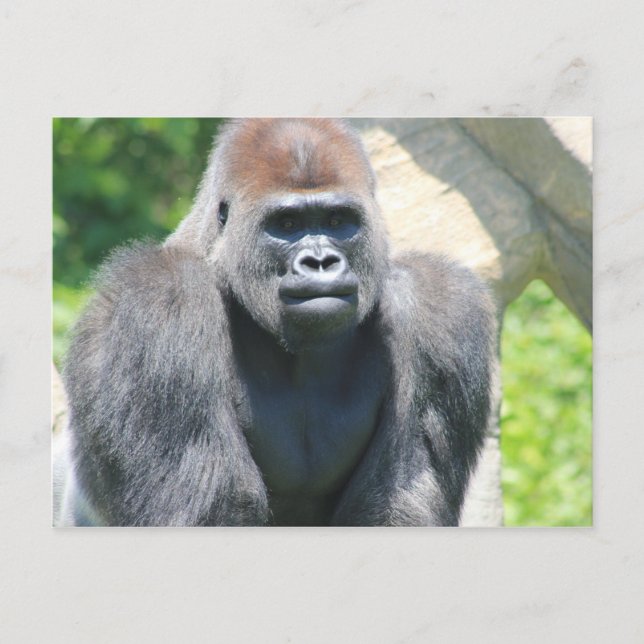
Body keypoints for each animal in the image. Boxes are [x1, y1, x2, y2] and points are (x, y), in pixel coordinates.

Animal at [53, 118, 497, 526]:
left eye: (337, 221)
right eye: (287, 225)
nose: (320, 262)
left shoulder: (439, 309)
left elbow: (400, 507)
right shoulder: (161, 303)